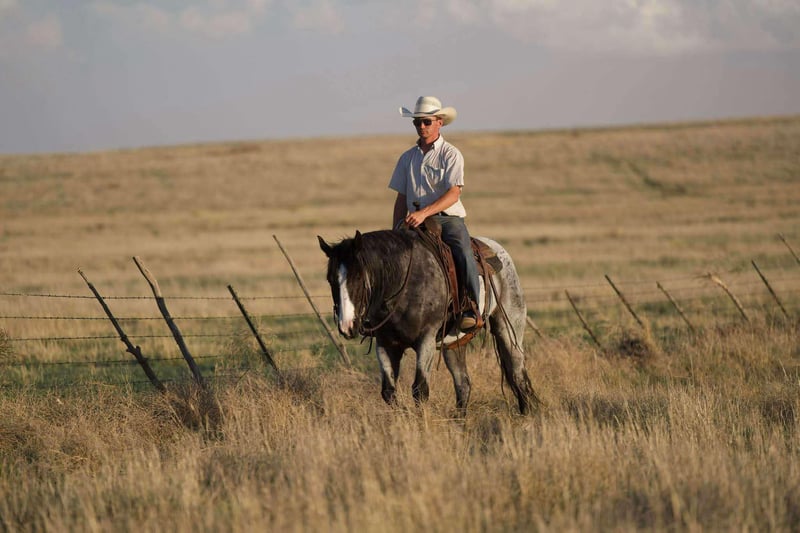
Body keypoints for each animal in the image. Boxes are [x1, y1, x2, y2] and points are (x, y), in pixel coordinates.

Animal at [318, 228, 539, 415]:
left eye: (357, 277)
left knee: (517, 373)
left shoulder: (426, 339)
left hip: (509, 329)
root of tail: (498, 250)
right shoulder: (386, 344)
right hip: (454, 345)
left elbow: (420, 389)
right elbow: (389, 391)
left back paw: (526, 416)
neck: (403, 284)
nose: (346, 326)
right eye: (330, 279)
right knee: (463, 384)